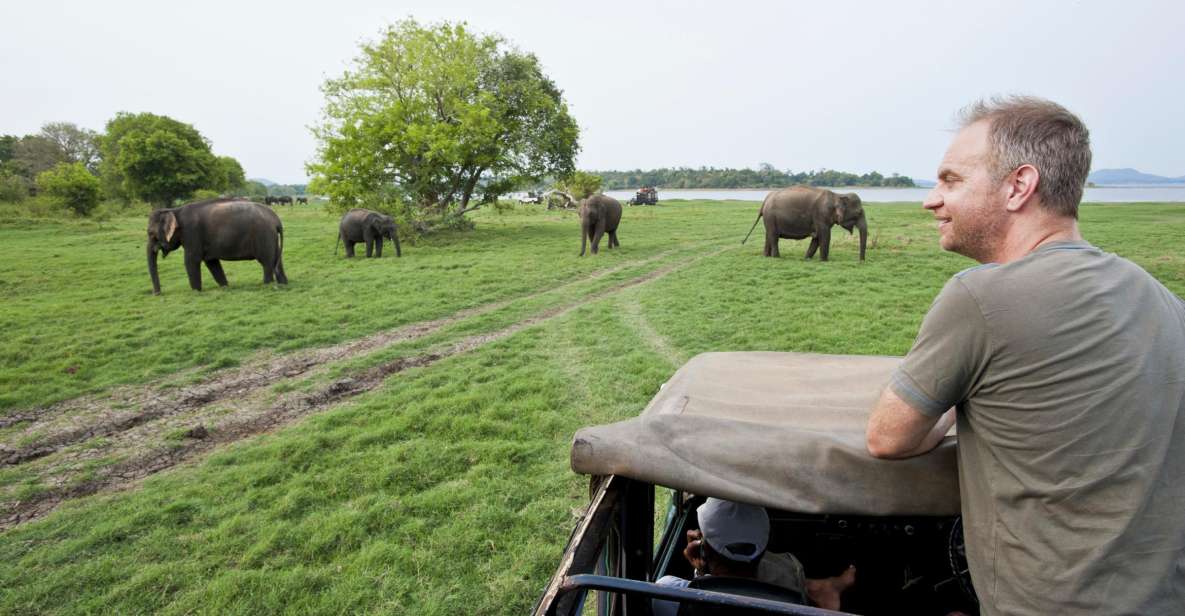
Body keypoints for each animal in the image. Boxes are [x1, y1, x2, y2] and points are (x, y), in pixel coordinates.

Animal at [146, 197, 287, 293]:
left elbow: (191, 261)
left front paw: (196, 292)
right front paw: (225, 287)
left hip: (264, 236)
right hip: (272, 238)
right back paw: (283, 284)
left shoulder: (192, 233)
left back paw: (267, 285)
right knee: (277, 261)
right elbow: (212, 262)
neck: (174, 210)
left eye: (150, 234)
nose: (156, 293)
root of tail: (276, 219)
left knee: (267, 263)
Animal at [739, 183, 872, 258]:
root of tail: (765, 200)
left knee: (769, 236)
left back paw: (766, 256)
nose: (861, 261)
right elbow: (825, 236)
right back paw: (776, 257)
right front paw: (824, 261)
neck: (837, 195)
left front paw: (806, 258)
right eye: (858, 213)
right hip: (771, 217)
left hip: (769, 219)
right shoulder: (821, 216)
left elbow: (817, 239)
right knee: (774, 238)